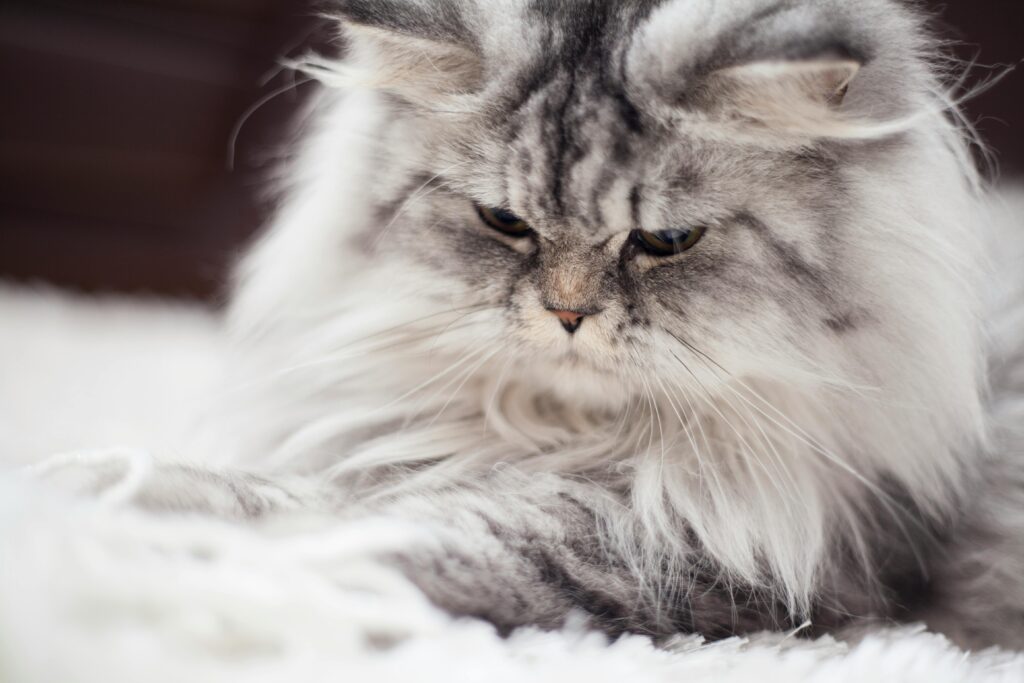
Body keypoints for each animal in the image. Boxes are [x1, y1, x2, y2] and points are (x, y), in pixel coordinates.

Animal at [167, 0, 1024, 651]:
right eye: (505, 221)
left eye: (668, 240)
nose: (568, 314)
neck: (566, 434)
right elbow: (304, 489)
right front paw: (157, 491)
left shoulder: (709, 554)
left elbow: (411, 538)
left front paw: (225, 572)